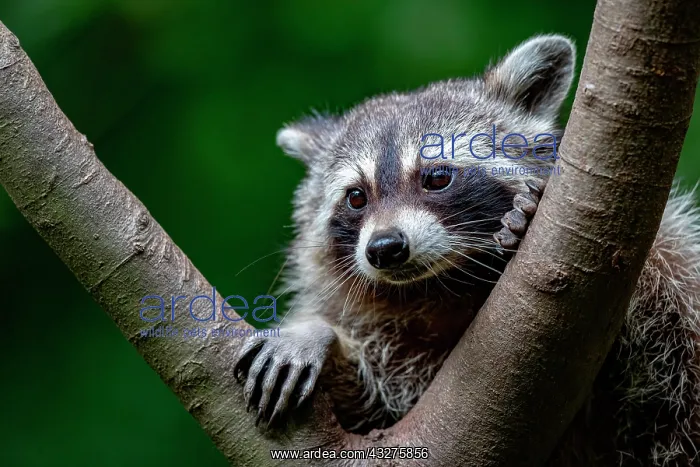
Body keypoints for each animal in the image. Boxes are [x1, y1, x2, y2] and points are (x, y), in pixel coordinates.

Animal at [233, 35, 700, 465]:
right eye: (356, 197)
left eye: (438, 177)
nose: (385, 248)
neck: (445, 286)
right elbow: (370, 413)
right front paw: (315, 335)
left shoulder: (670, 270)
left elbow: (669, 350)